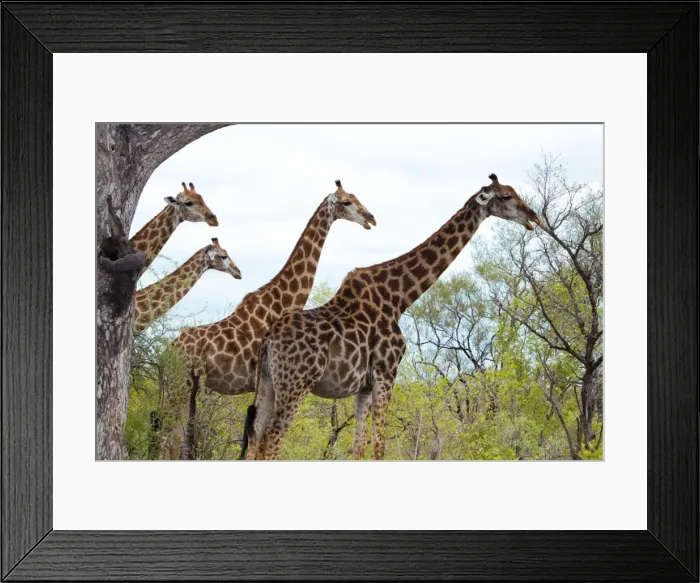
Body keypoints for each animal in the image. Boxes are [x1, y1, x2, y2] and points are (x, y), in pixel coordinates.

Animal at [172, 180, 376, 459]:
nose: (370, 218)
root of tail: (171, 347)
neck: (280, 302)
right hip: (183, 384)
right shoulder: (263, 380)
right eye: (347, 201)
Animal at [243, 174, 542, 460]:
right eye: (506, 196)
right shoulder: (387, 373)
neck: (399, 298)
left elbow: (358, 448)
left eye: (514, 192)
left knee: (256, 438)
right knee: (272, 441)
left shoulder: (363, 387)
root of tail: (268, 340)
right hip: (296, 384)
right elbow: (379, 447)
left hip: (268, 384)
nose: (534, 217)